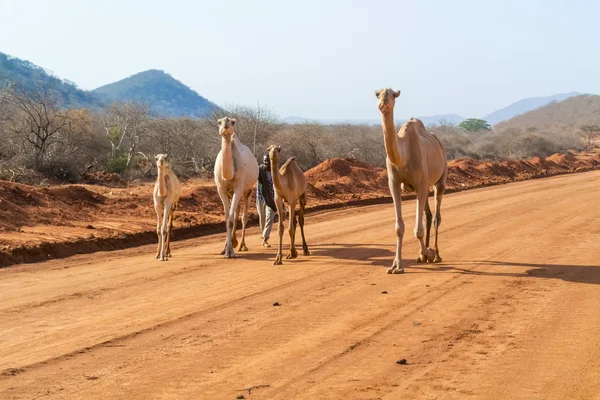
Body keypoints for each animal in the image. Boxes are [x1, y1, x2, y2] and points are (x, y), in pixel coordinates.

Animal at [214, 117, 258, 258]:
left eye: (233, 122)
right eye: (219, 122)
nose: (226, 124)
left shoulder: (239, 187)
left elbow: (231, 220)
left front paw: (230, 252)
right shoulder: (221, 189)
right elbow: (227, 218)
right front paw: (225, 250)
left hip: (248, 190)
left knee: (244, 217)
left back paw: (241, 245)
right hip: (231, 192)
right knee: (236, 213)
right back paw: (233, 242)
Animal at [372, 88, 448, 274]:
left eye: (392, 94)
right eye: (377, 94)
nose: (383, 103)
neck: (403, 156)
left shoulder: (420, 183)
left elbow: (418, 230)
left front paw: (429, 252)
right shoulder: (393, 184)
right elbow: (399, 228)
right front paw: (396, 265)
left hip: (440, 178)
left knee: (436, 216)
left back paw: (436, 254)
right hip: (425, 185)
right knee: (428, 215)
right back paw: (423, 256)